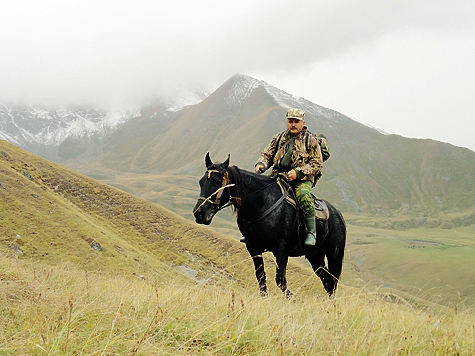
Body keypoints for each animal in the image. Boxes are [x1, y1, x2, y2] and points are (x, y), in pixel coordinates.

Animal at [193, 153, 346, 298]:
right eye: (201, 182)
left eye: (218, 182)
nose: (199, 213)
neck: (261, 203)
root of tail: (338, 214)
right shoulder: (253, 248)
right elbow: (261, 277)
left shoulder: (281, 249)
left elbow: (280, 280)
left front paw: (293, 300)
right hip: (315, 256)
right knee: (327, 280)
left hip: (334, 254)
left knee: (332, 281)